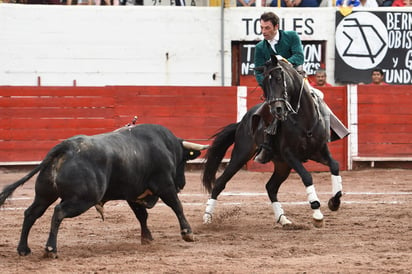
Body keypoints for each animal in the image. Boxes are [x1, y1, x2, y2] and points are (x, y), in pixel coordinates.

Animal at [0, 123, 206, 258]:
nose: (182, 184)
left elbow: (142, 216)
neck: (165, 145)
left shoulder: (132, 194)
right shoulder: (165, 185)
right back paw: (51, 249)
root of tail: (66, 146)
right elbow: (177, 206)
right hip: (83, 199)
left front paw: (147, 238)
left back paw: (23, 249)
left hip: (45, 195)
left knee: (31, 213)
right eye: (184, 160)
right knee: (58, 212)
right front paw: (187, 233)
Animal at [201, 55, 342, 227]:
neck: (304, 120)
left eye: (279, 78)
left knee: (271, 187)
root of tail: (241, 122)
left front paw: (334, 202)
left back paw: (283, 219)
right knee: (220, 182)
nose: (277, 109)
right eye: (264, 84)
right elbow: (307, 176)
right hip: (241, 154)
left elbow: (335, 166)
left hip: (282, 165)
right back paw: (207, 216)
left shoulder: (319, 150)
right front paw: (317, 214)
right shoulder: (290, 155)